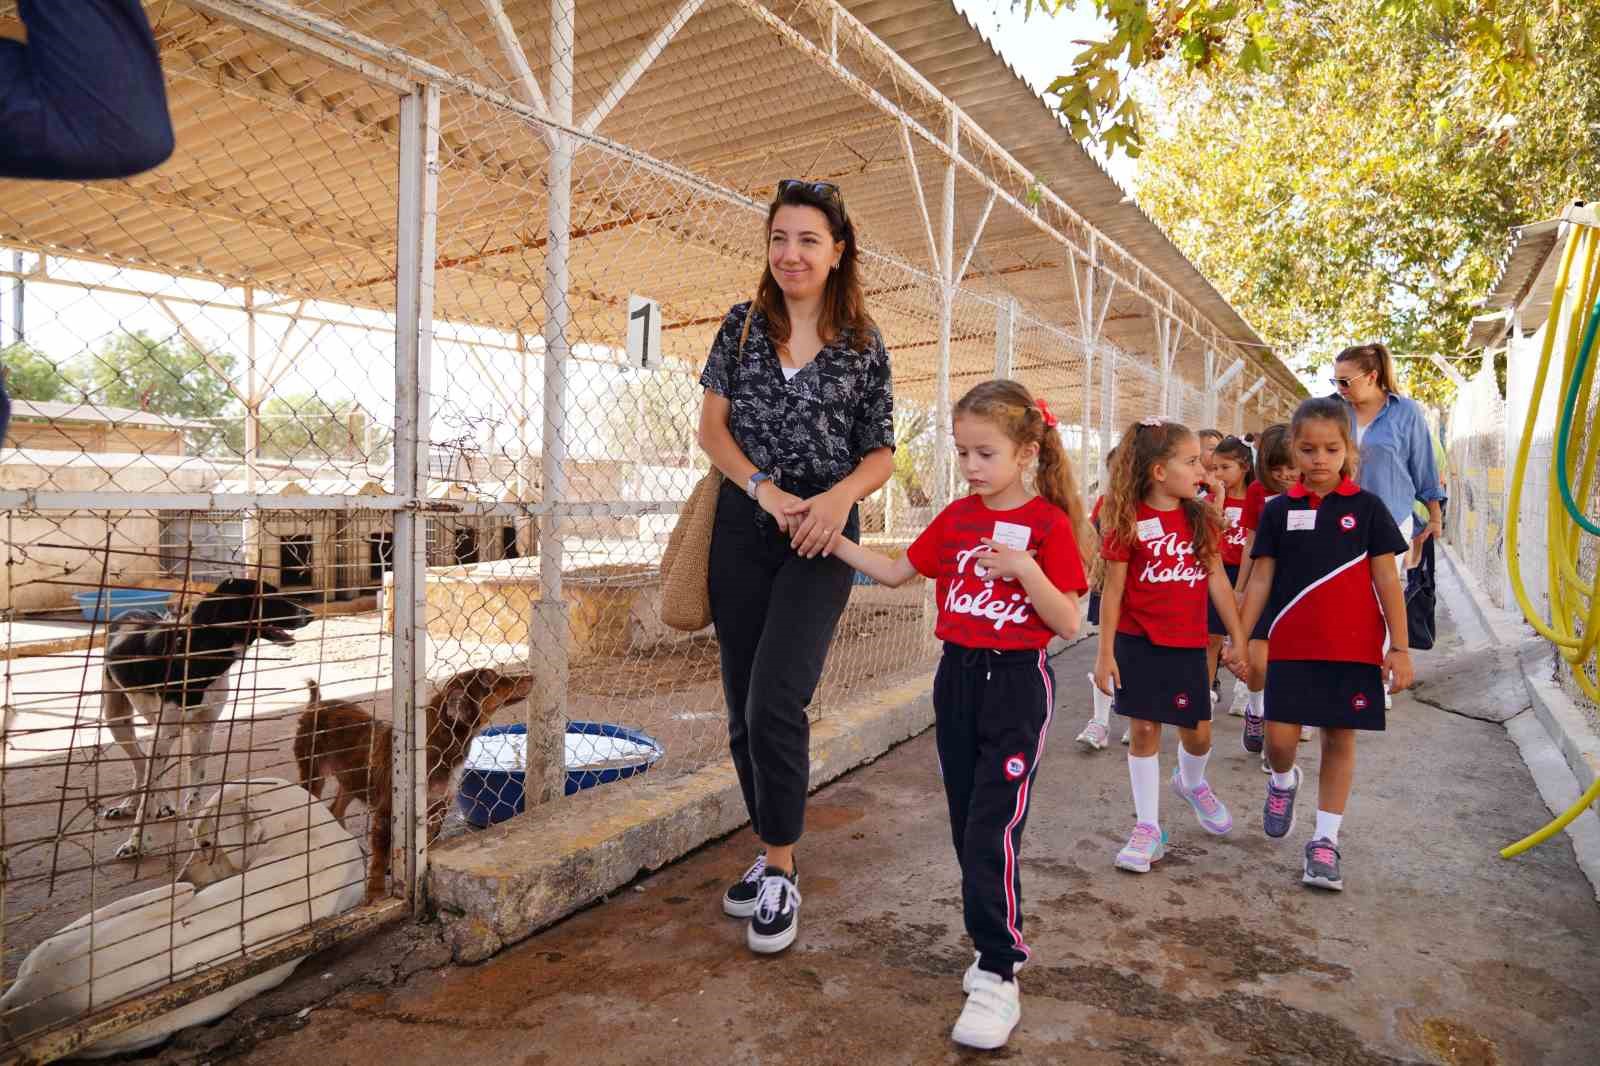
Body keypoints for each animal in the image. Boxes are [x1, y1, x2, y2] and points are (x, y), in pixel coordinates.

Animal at [102, 576, 312, 857]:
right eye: (268, 596)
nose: (310, 614)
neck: (200, 652)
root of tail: (129, 612)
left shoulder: (203, 730)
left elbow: (194, 793)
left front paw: (197, 831)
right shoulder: (164, 734)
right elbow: (148, 791)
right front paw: (135, 843)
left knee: (146, 767)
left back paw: (160, 805)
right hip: (117, 720)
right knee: (142, 766)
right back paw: (131, 804)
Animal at [292, 669, 531, 889]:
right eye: (491, 678)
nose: (531, 676)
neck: (442, 745)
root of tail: (316, 704)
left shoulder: (438, 807)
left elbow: (429, 845)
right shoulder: (387, 812)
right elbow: (378, 864)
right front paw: (375, 896)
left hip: (352, 780)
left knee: (335, 810)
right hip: (314, 774)